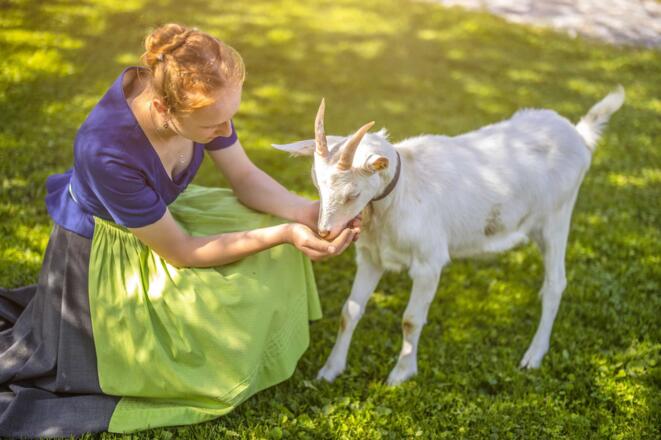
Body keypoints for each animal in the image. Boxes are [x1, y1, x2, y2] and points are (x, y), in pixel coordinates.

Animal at [273, 87, 625, 385]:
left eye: (353, 194)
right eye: (317, 184)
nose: (325, 231)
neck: (402, 192)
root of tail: (579, 135)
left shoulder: (429, 261)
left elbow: (411, 319)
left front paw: (400, 374)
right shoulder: (372, 257)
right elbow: (349, 312)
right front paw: (330, 370)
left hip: (557, 217)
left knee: (555, 284)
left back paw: (533, 357)